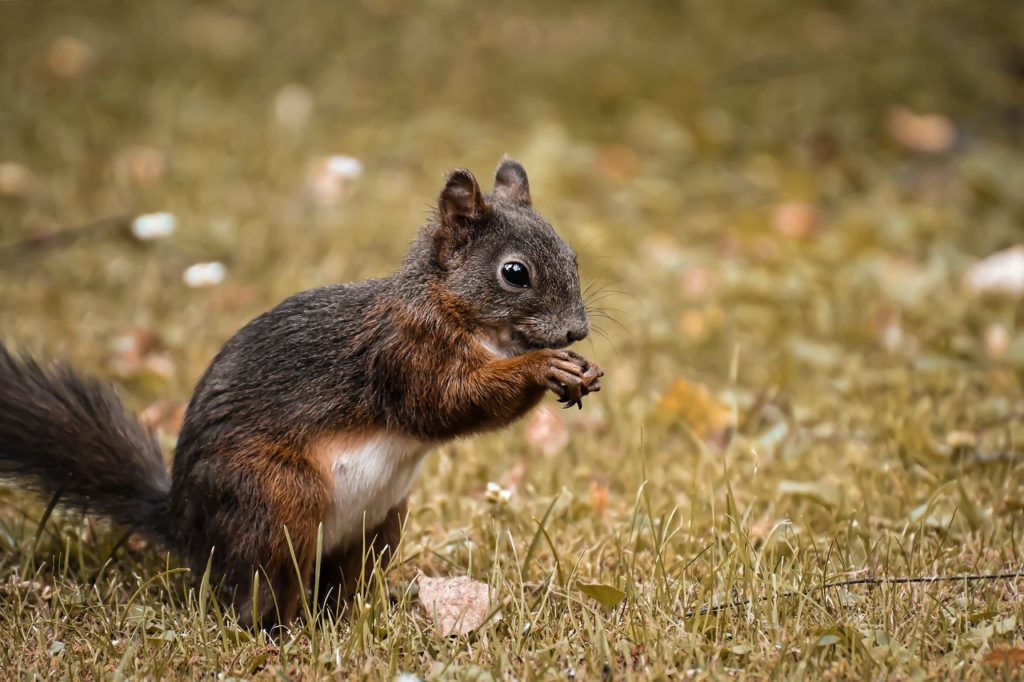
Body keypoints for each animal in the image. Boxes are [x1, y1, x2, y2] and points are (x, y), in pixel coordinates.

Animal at [0, 159, 603, 630]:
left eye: (573, 256)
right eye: (514, 273)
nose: (577, 331)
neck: (455, 310)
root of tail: (188, 527)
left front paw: (582, 370)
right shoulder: (404, 354)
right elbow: (451, 402)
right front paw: (543, 367)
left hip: (380, 525)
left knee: (337, 586)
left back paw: (358, 618)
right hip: (278, 499)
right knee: (260, 592)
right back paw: (281, 632)